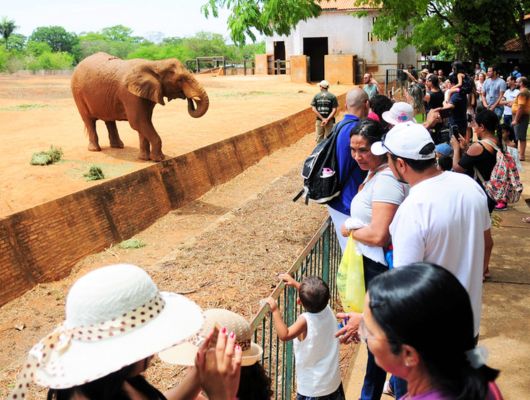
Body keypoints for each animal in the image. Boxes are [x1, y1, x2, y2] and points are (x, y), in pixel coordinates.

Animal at [69, 52, 208, 161]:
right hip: (77, 93)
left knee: (109, 120)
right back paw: (95, 149)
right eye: (180, 80)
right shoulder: (130, 95)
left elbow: (144, 123)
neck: (156, 64)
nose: (190, 99)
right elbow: (139, 122)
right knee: (89, 121)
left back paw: (118, 146)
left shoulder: (145, 94)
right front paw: (159, 159)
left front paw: (144, 158)